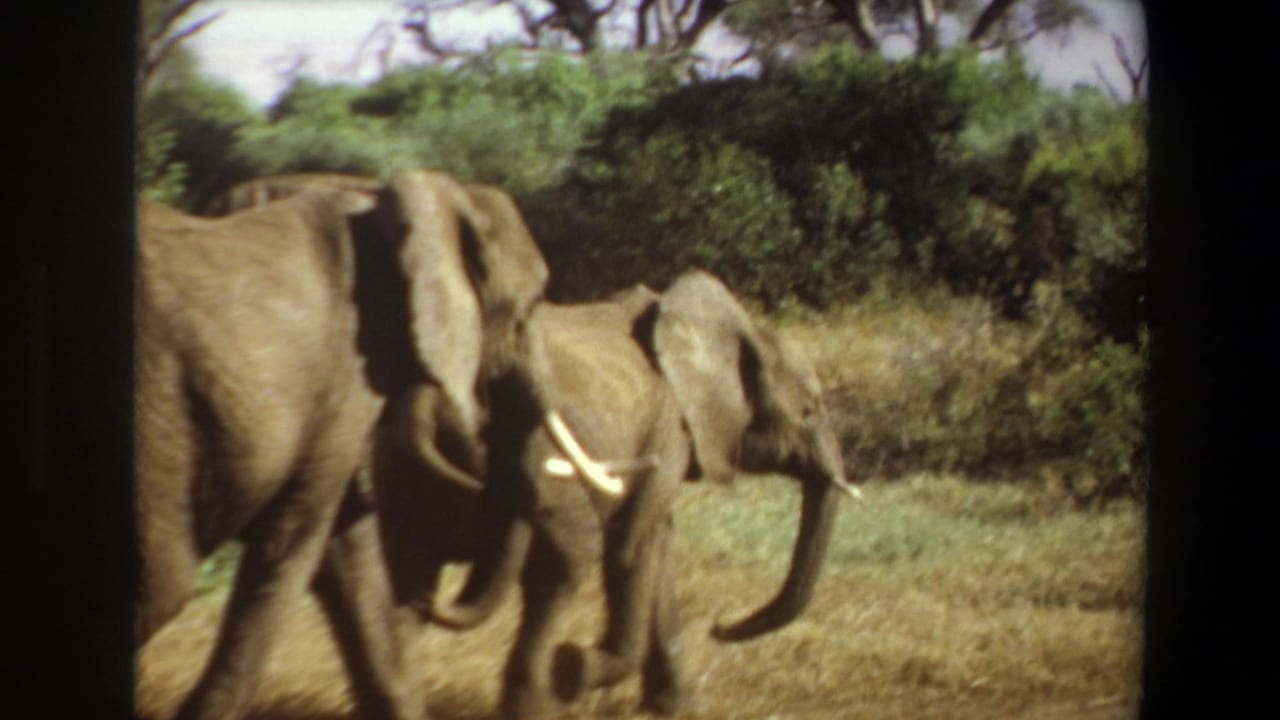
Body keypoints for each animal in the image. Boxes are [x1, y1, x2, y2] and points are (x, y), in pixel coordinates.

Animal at [134, 168, 553, 720]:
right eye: (529, 308)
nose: (425, 599)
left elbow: (348, 552)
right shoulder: (346, 373)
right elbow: (294, 543)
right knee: (166, 585)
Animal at [425, 270, 863, 719]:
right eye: (809, 410)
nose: (719, 626)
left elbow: (660, 544)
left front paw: (677, 707)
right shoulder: (669, 430)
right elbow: (634, 543)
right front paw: (573, 669)